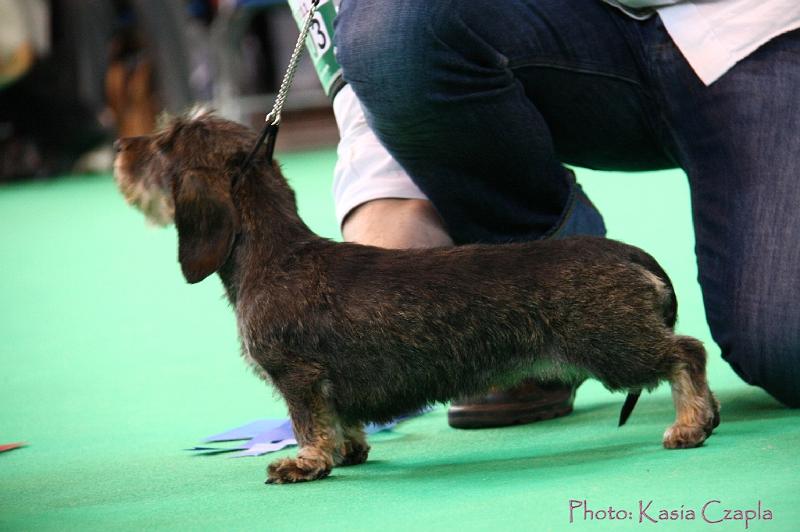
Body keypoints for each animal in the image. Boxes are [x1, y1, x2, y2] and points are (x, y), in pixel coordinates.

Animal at [115, 110, 720, 484]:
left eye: (164, 143)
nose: (120, 143)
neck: (275, 254)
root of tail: (629, 253)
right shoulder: (325, 384)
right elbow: (340, 420)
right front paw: (349, 452)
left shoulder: (297, 375)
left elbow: (308, 423)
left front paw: (305, 463)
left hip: (613, 346)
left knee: (687, 352)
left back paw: (690, 424)